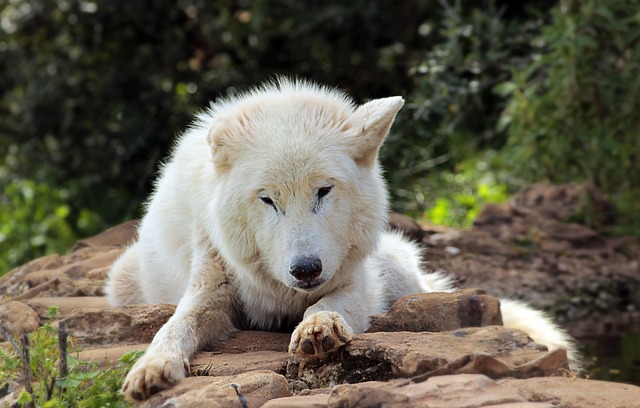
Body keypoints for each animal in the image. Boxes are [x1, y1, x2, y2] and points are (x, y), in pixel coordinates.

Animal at [106, 79, 580, 402]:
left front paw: (319, 327)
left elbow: (331, 304)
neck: (283, 294)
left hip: (395, 270)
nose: (305, 269)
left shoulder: (356, 281)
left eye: (323, 191)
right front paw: (152, 367)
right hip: (121, 280)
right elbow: (176, 325)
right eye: (268, 199)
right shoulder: (211, 287)